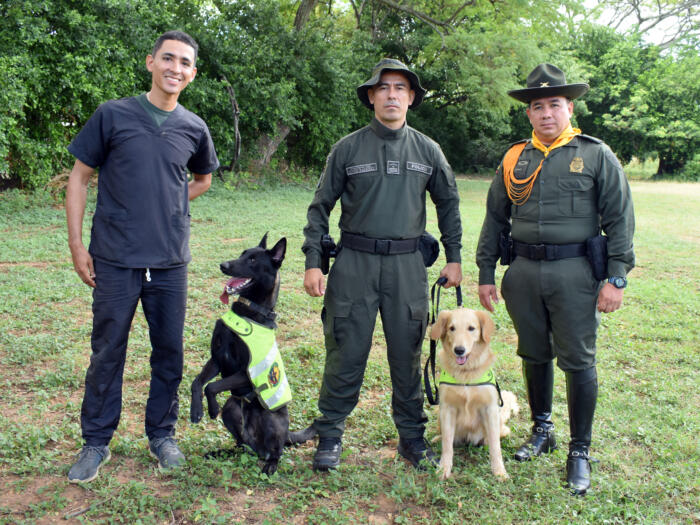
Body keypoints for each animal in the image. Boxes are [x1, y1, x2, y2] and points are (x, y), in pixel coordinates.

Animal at [189, 233, 314, 474]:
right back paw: (222, 452)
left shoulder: (246, 373)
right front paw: (196, 411)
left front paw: (211, 409)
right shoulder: (217, 359)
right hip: (231, 408)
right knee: (240, 445)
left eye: (254, 260)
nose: (223, 265)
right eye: (242, 254)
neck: (249, 311)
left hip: (271, 419)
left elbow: (211, 386)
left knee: (277, 451)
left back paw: (270, 465)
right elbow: (197, 383)